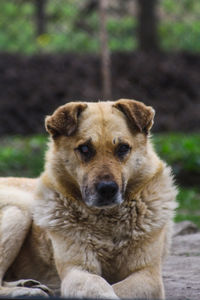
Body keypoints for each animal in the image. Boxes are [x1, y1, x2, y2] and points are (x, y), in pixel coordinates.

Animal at [0, 99, 177, 298]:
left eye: (123, 148)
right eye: (85, 149)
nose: (107, 189)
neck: (107, 221)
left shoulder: (148, 275)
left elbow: (117, 288)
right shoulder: (77, 271)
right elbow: (100, 287)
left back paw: (28, 284)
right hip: (19, 211)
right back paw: (28, 291)